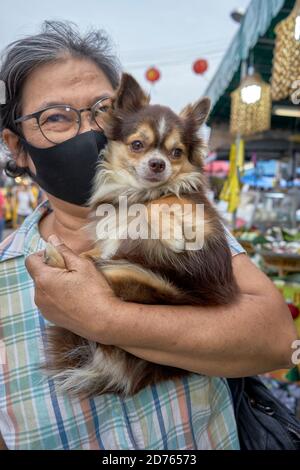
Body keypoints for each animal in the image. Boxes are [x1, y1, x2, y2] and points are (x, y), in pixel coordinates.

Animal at [43, 73, 239, 396]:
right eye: (137, 144)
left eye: (176, 153)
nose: (158, 163)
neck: (136, 191)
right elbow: (104, 243)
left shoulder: (203, 222)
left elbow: (159, 203)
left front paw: (172, 233)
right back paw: (58, 256)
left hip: (146, 281)